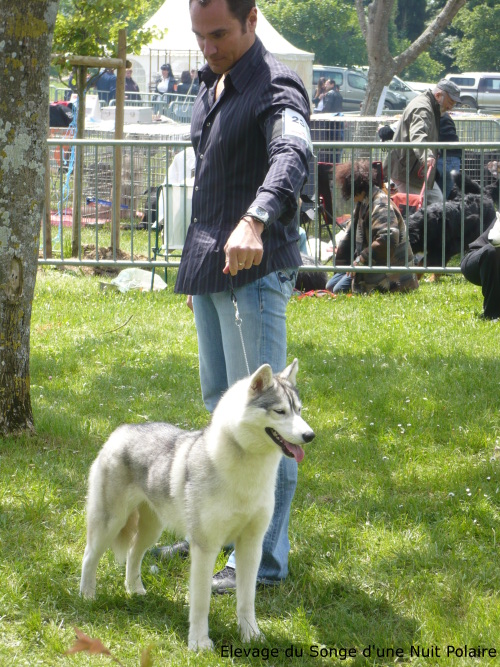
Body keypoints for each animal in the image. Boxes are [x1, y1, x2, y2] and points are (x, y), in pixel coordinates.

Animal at [80, 360, 314, 652]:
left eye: (299, 410)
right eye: (280, 411)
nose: (310, 435)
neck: (246, 473)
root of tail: (122, 430)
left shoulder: (251, 546)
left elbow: (247, 599)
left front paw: (251, 635)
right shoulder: (205, 547)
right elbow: (201, 602)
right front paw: (200, 643)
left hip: (151, 529)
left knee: (134, 554)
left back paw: (135, 591)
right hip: (109, 523)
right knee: (89, 557)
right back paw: (88, 596)